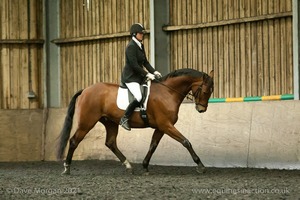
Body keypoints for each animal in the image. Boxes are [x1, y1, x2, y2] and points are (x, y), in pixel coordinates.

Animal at [56, 68, 214, 174]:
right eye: (206, 91)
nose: (201, 109)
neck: (168, 92)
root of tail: (85, 90)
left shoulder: (161, 127)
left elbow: (153, 145)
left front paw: (145, 165)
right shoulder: (166, 125)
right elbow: (185, 141)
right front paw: (200, 165)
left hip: (110, 122)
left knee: (110, 143)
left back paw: (128, 166)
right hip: (87, 122)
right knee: (74, 141)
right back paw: (67, 168)